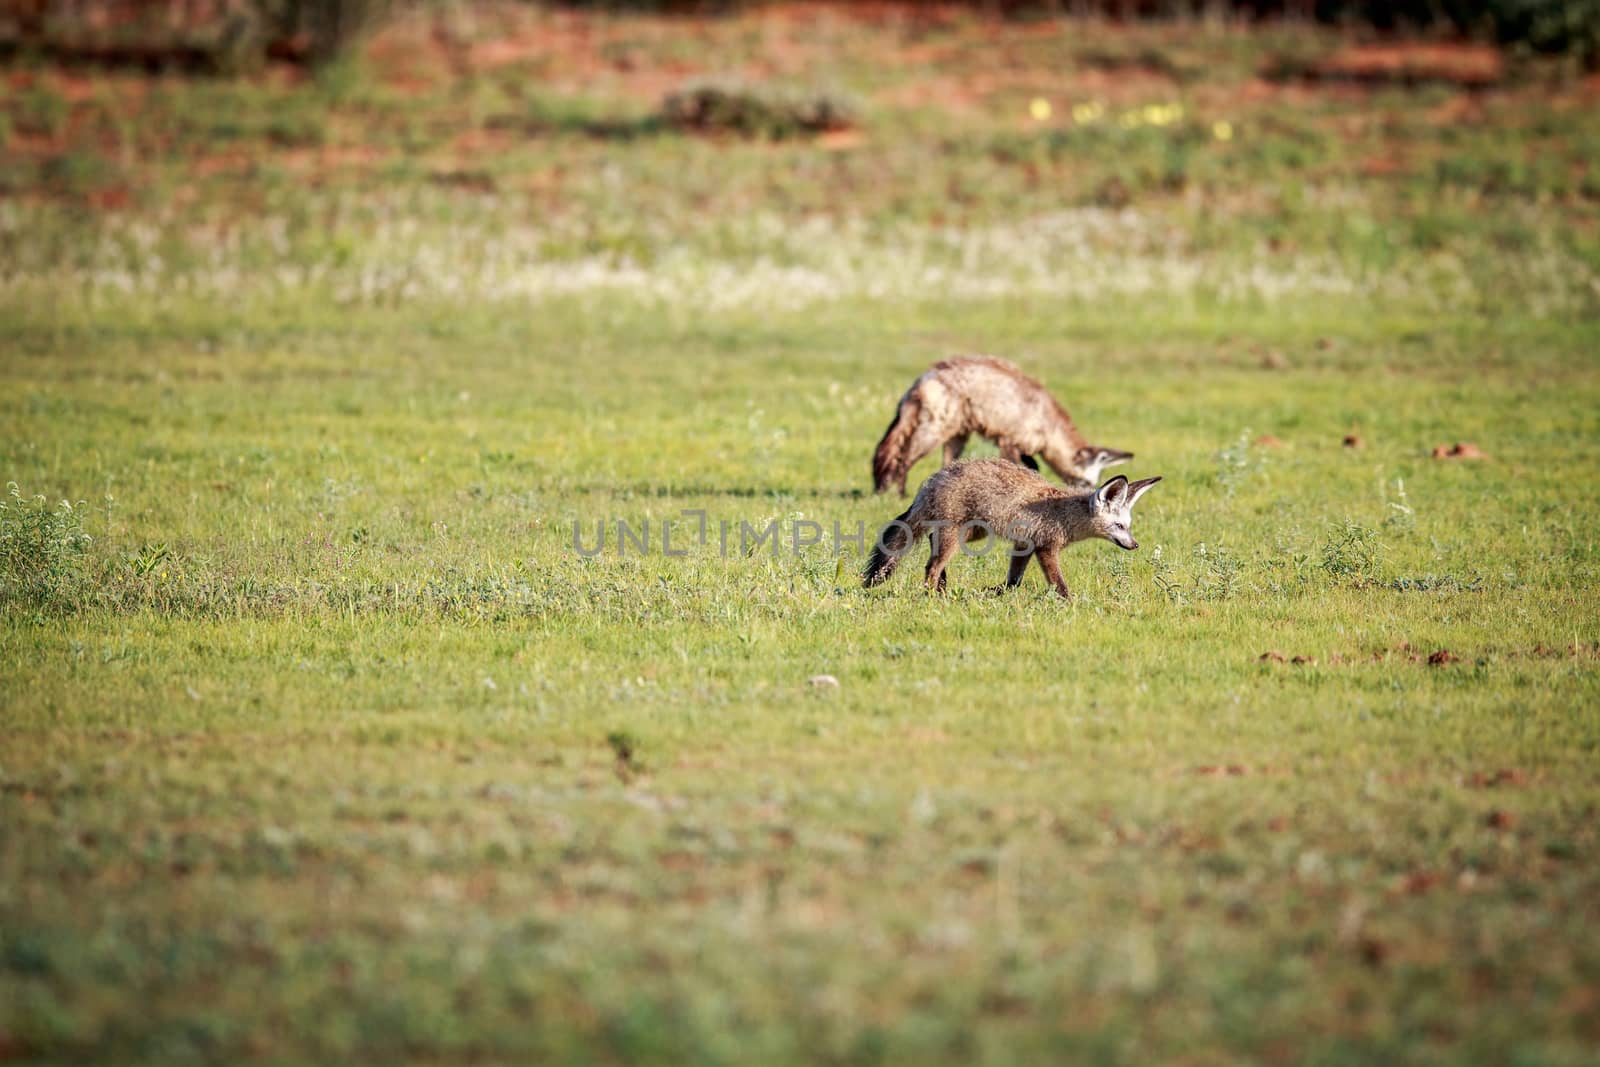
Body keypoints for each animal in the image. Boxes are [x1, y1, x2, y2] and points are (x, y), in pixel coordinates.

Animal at [864, 454, 1164, 598]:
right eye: (1119, 526)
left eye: (1128, 526)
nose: (1135, 545)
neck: (1064, 513)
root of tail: (935, 477)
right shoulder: (1045, 548)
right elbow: (1059, 584)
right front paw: (1070, 602)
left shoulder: (1024, 545)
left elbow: (1013, 581)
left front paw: (996, 593)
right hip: (956, 536)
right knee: (931, 566)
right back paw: (934, 596)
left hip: (970, 534)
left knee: (930, 547)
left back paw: (943, 588)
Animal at [876, 355, 1139, 495]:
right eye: (1085, 483)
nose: (1093, 500)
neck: (1048, 422)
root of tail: (924, 378)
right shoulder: (1009, 440)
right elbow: (1020, 468)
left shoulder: (1023, 446)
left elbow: (1034, 467)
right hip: (936, 428)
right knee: (903, 457)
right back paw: (900, 494)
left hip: (958, 432)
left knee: (944, 462)